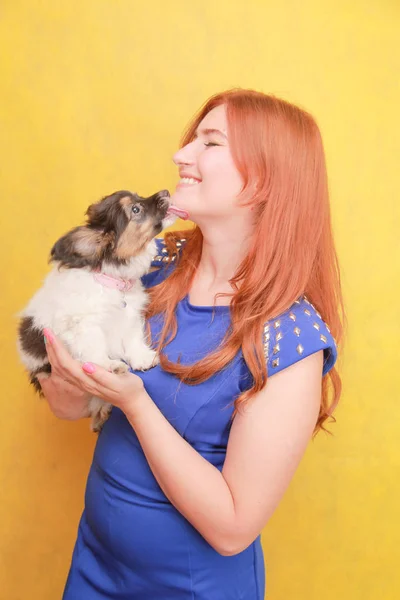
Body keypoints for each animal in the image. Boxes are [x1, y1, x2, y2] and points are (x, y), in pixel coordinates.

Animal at [16, 189, 175, 432]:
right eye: (135, 209)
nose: (166, 192)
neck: (112, 282)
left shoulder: (130, 318)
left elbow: (133, 340)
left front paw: (142, 358)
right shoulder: (83, 325)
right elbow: (95, 349)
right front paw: (109, 366)